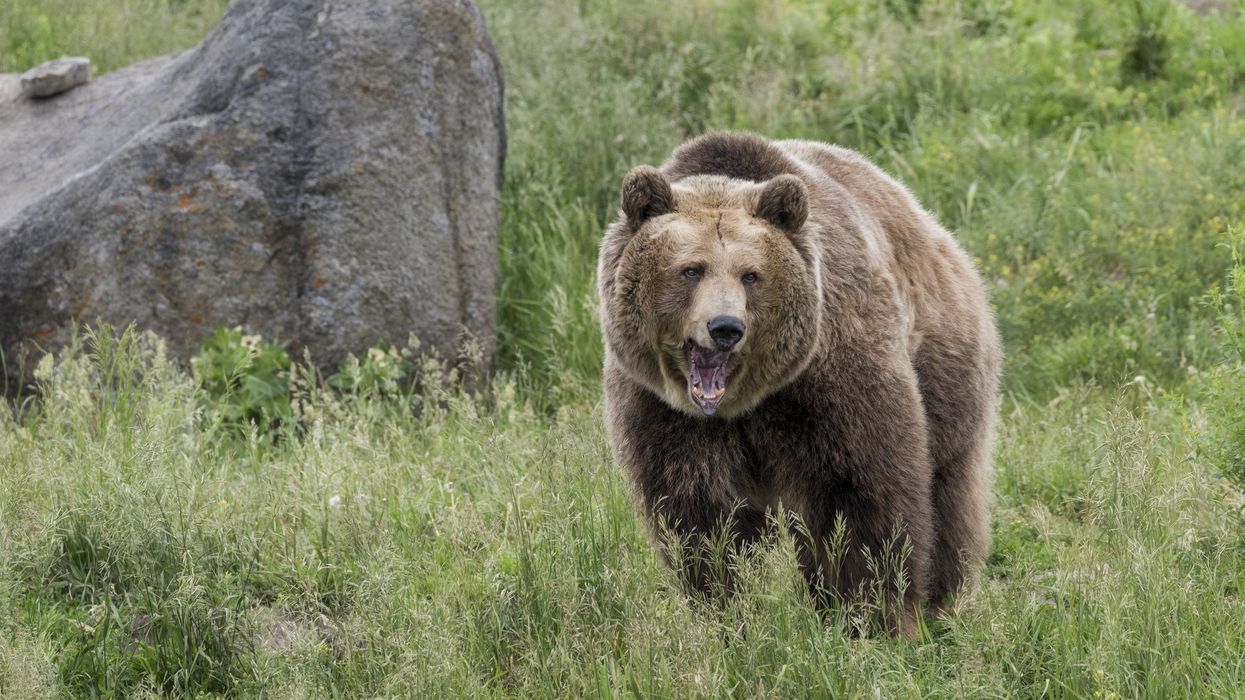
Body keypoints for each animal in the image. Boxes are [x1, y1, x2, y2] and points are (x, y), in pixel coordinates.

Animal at [597, 132, 1001, 636]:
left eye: (751, 274)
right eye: (691, 269)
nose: (725, 327)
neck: (745, 403)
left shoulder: (831, 378)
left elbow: (860, 494)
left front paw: (873, 617)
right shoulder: (664, 411)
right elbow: (702, 517)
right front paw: (727, 612)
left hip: (947, 372)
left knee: (948, 493)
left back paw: (941, 601)